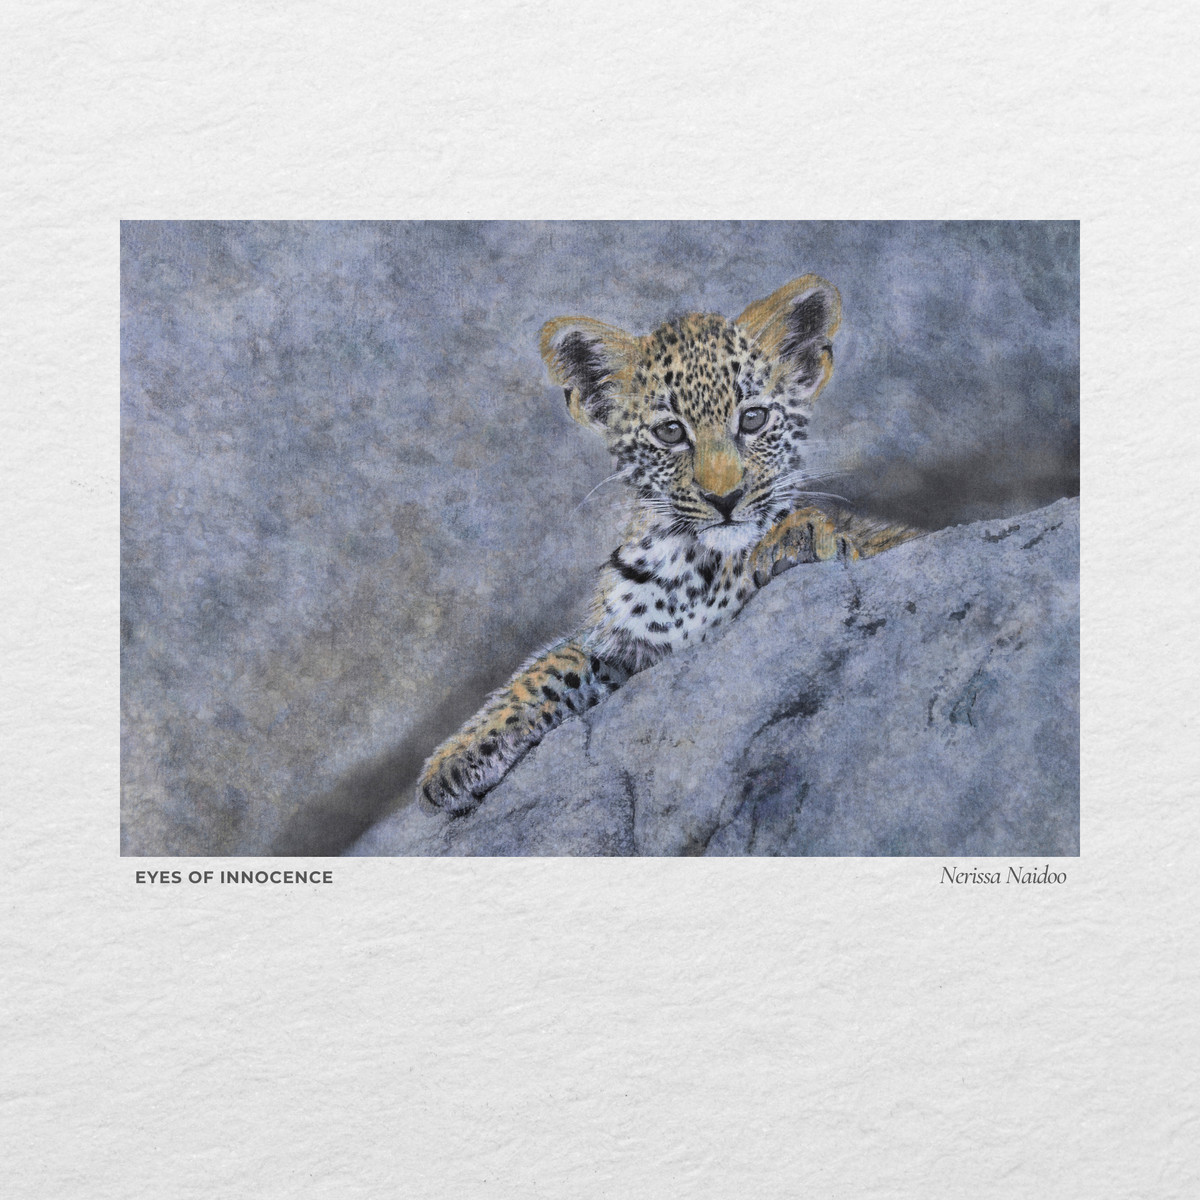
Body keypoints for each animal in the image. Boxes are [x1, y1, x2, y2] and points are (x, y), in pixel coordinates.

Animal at [418, 274, 923, 814]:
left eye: (753, 420)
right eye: (670, 431)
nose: (725, 498)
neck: (697, 567)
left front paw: (803, 536)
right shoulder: (620, 644)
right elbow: (549, 665)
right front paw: (453, 760)